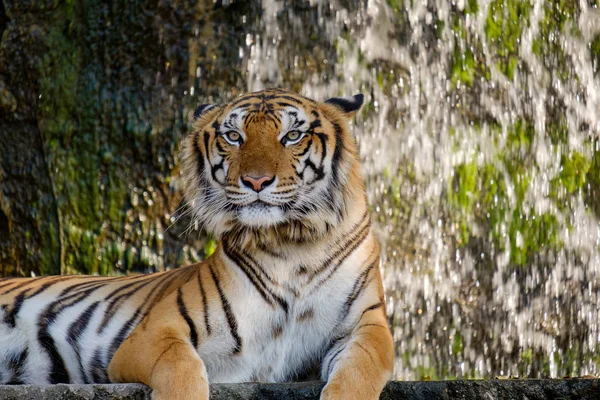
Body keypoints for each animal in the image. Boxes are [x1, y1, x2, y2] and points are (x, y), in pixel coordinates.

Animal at [0, 88, 394, 400]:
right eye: (234, 136)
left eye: (293, 135)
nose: (256, 181)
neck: (292, 245)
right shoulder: (154, 332)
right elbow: (181, 367)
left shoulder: (365, 325)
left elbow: (361, 369)